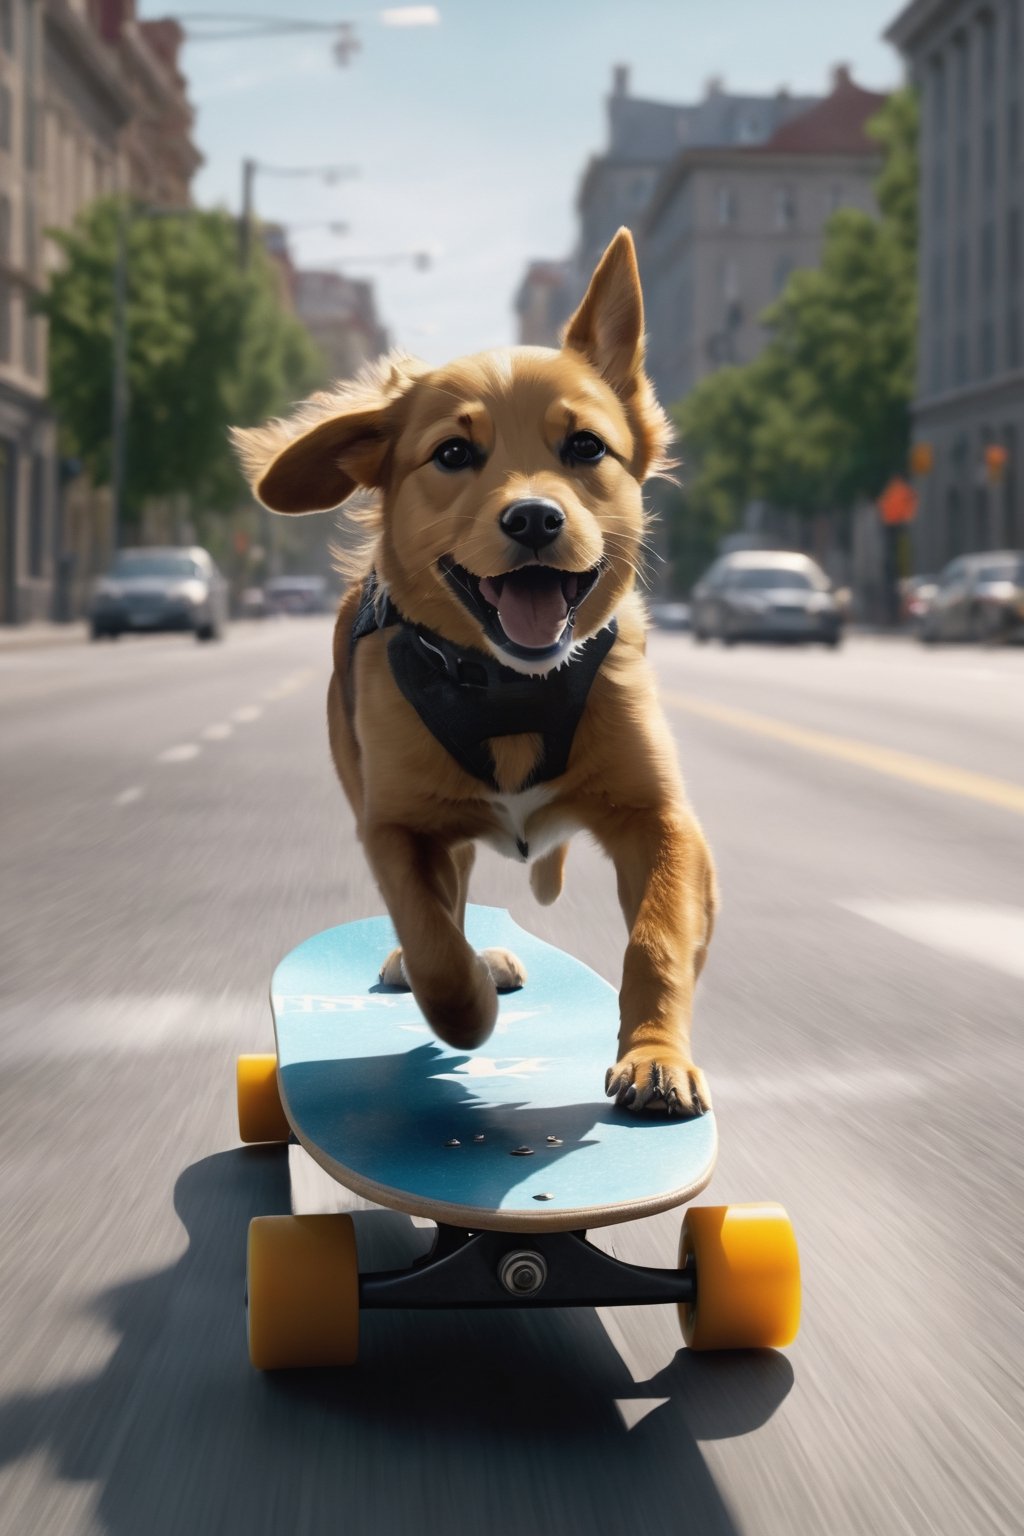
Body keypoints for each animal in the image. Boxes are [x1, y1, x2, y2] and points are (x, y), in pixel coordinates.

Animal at [234, 227, 712, 1118]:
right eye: (454, 453)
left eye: (585, 446)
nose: (533, 518)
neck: (512, 686)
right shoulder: (393, 826)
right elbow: (431, 942)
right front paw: (468, 1000)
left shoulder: (661, 818)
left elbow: (658, 939)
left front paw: (654, 1057)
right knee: (443, 908)